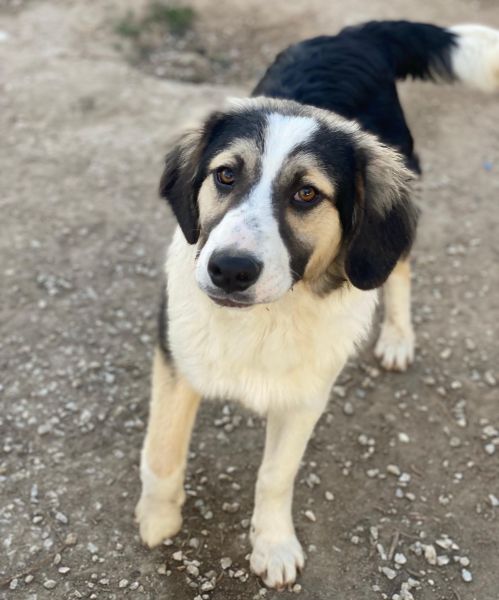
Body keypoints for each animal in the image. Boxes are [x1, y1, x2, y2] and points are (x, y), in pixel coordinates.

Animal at [136, 21, 499, 589]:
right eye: (225, 175)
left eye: (307, 193)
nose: (229, 270)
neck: (267, 316)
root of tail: (353, 34)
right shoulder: (175, 358)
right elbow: (163, 452)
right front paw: (158, 518)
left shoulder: (306, 394)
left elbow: (275, 475)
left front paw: (273, 544)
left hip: (388, 229)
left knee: (398, 269)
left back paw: (398, 337)